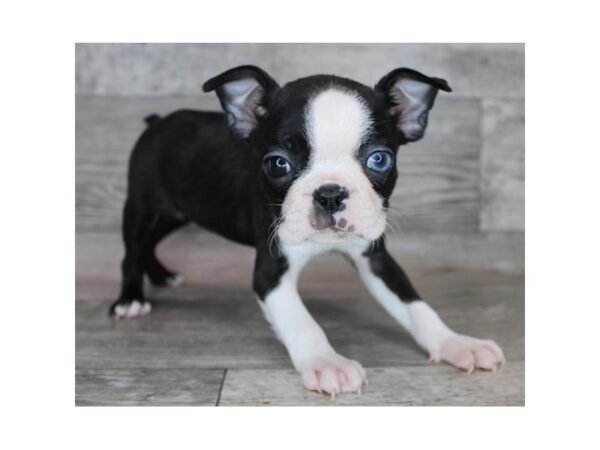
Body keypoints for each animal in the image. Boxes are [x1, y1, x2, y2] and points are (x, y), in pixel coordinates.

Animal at [110, 65, 504, 396]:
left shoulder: (375, 257)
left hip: (178, 211)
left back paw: (162, 275)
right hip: (143, 205)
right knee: (131, 249)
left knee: (149, 243)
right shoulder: (271, 273)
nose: (329, 193)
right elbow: (302, 322)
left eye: (380, 159)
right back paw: (130, 299)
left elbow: (415, 305)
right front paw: (327, 362)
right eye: (277, 163)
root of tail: (158, 121)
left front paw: (457, 343)